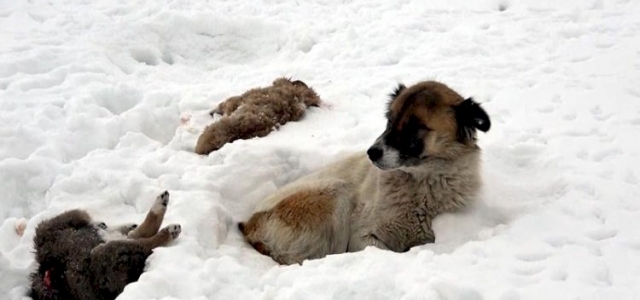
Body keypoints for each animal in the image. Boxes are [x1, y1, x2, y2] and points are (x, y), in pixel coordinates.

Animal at [238, 80, 492, 264]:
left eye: (414, 127)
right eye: (389, 121)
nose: (372, 152)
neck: (421, 187)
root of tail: (248, 224)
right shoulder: (363, 238)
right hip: (336, 192)